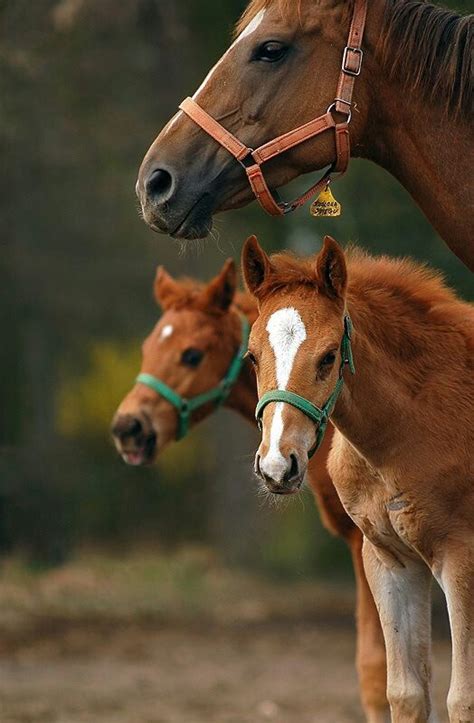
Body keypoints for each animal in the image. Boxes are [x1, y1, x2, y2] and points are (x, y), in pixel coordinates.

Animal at [244, 235, 474, 720]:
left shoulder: (461, 556)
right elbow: (405, 694)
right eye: (251, 357)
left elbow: (462, 698)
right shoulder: (389, 559)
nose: (277, 465)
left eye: (329, 356)